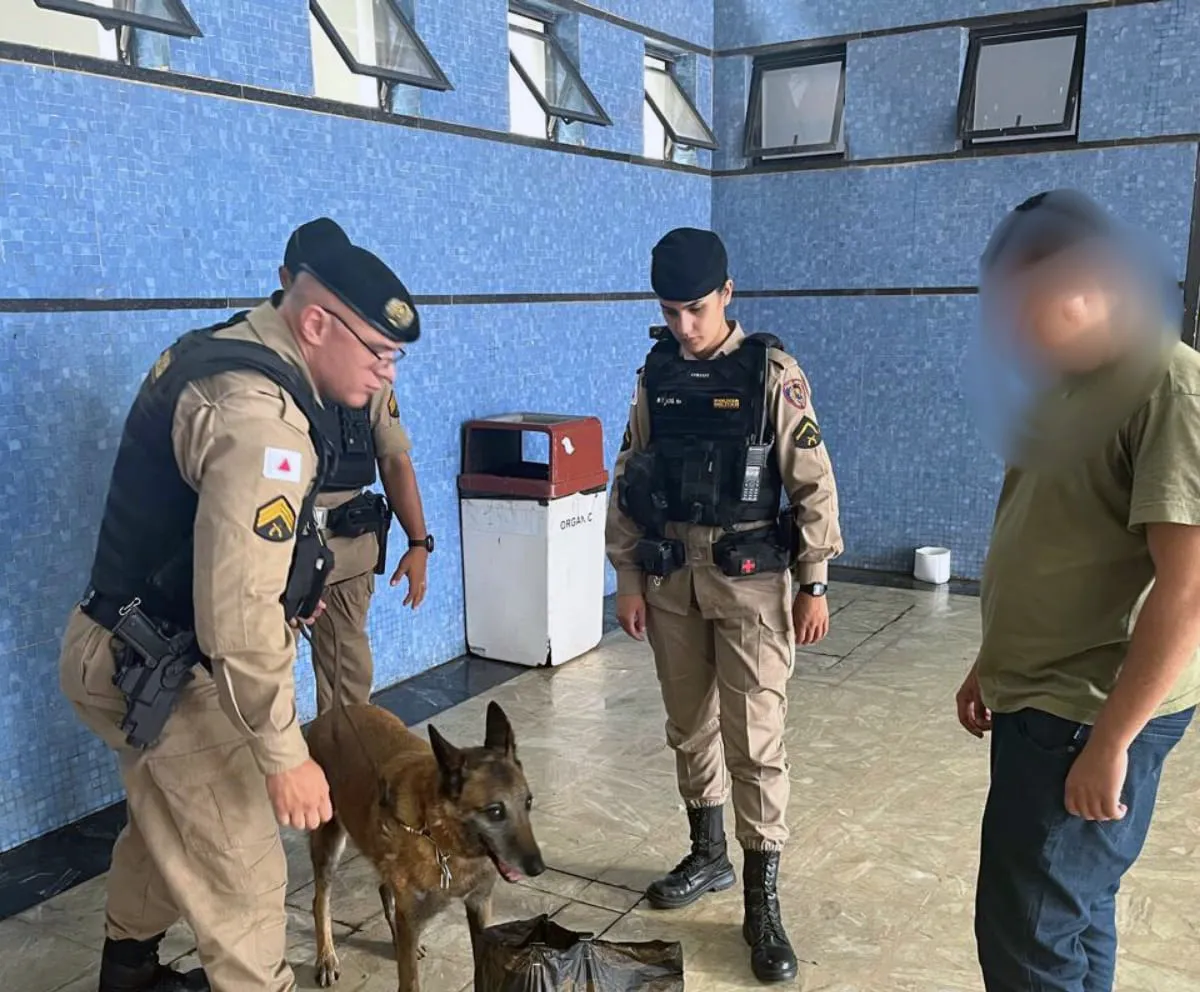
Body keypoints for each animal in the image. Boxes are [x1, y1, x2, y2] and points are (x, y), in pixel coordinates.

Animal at [303, 699, 546, 991]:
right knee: (320, 901)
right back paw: (326, 957)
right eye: (495, 811)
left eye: (528, 802)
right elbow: (410, 982)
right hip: (328, 843)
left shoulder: (478, 905)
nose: (538, 868)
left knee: (384, 889)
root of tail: (333, 712)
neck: (441, 840)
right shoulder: (412, 919)